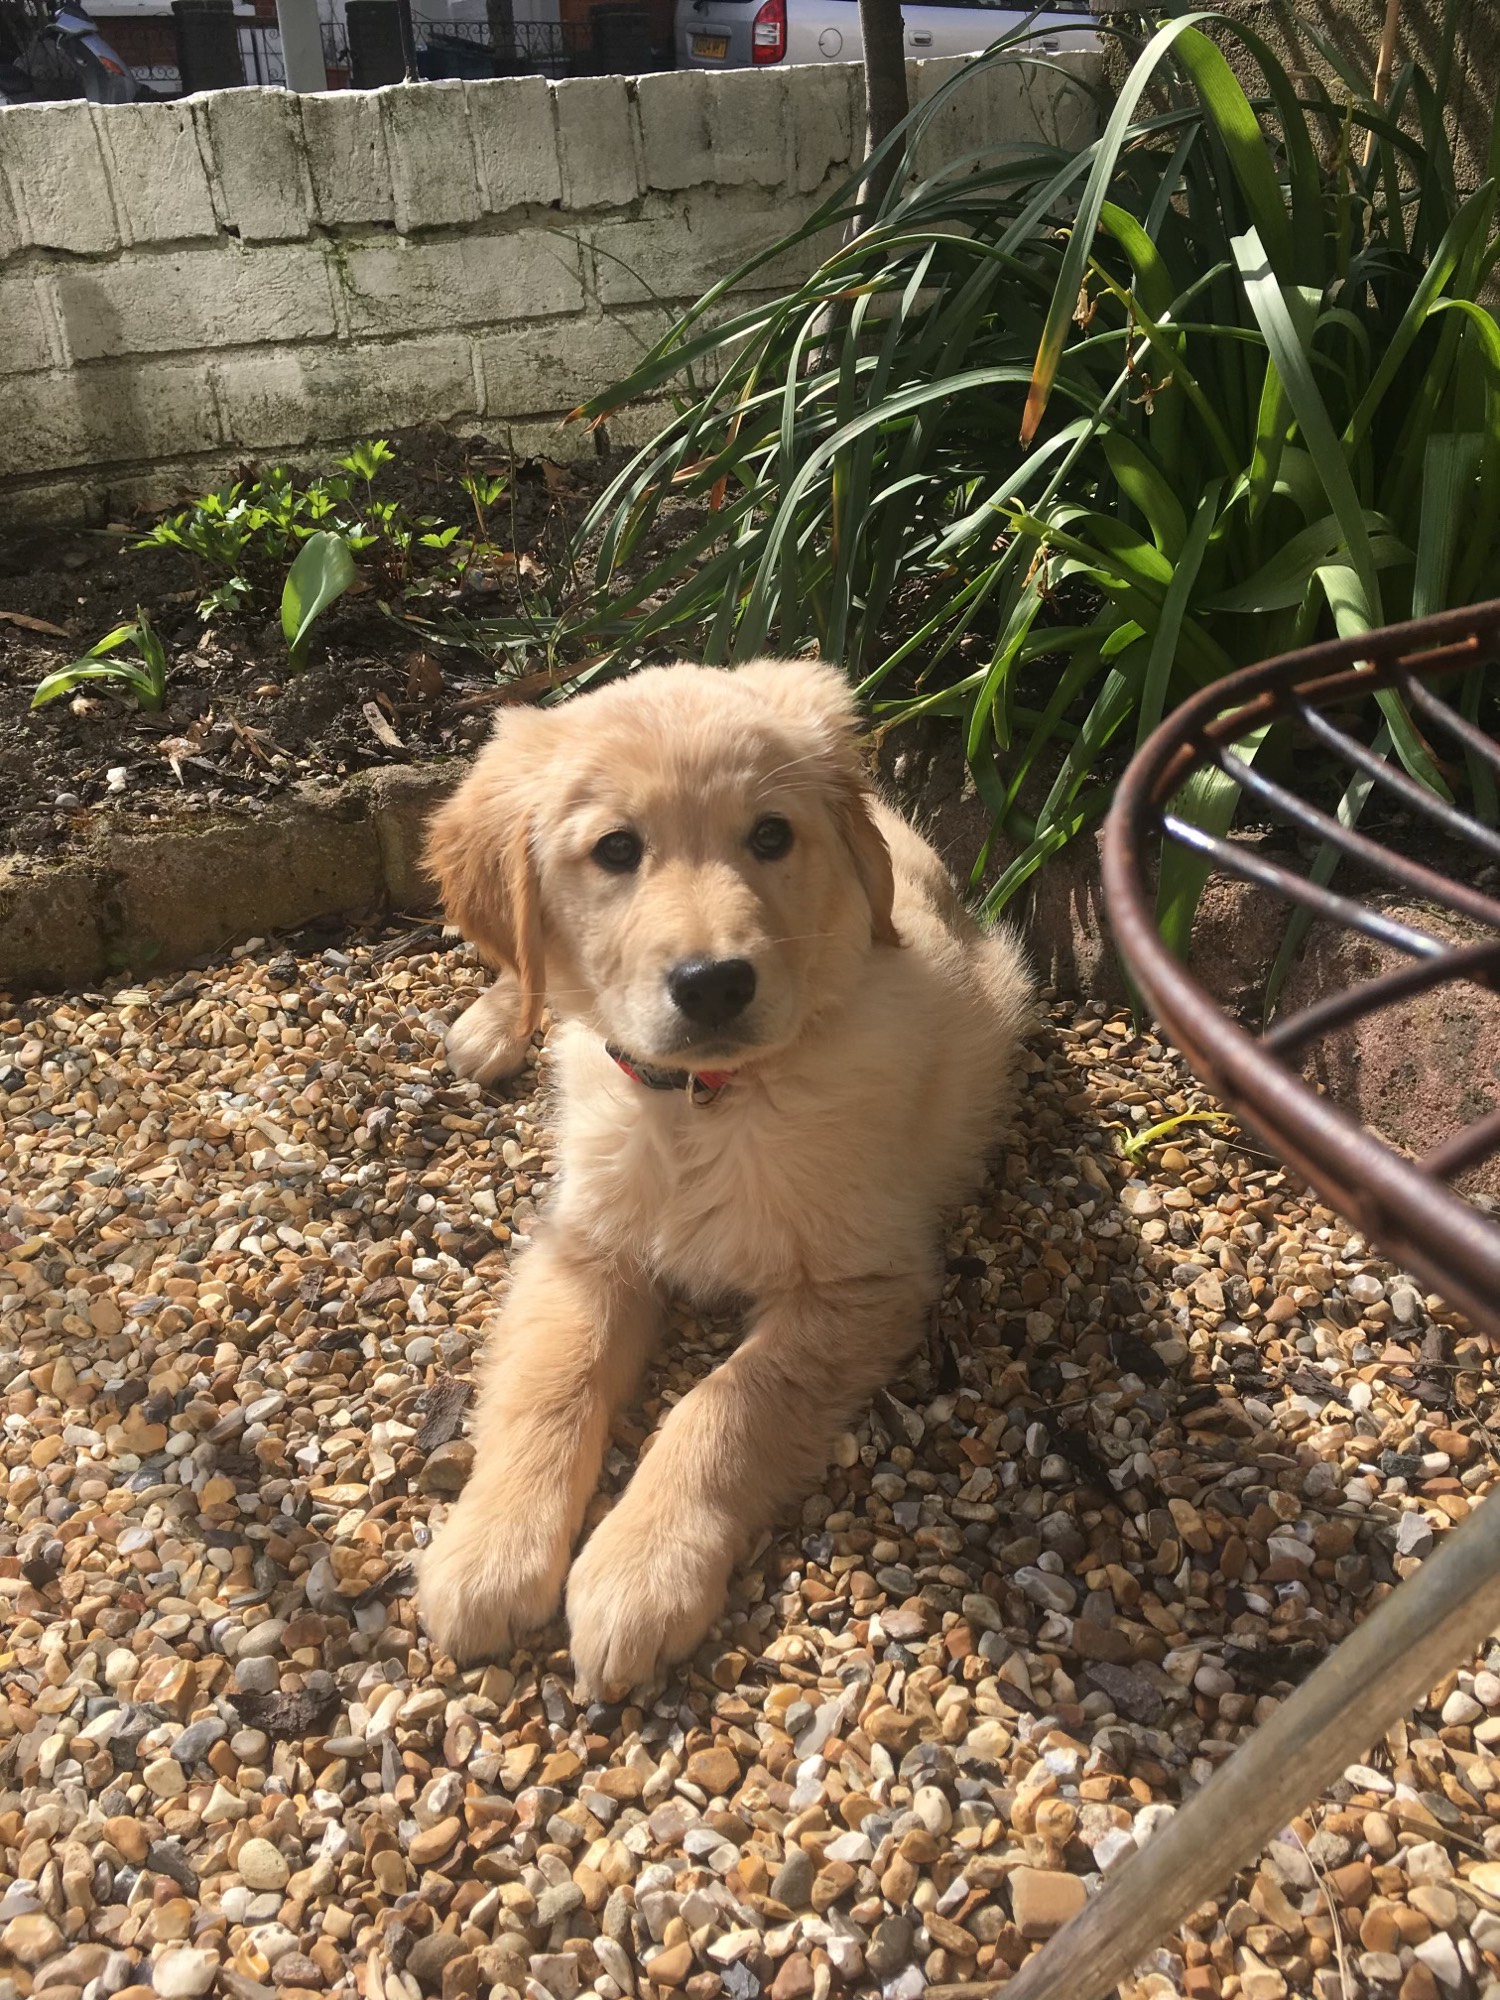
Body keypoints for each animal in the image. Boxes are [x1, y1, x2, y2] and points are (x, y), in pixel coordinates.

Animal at [416, 657, 1031, 1692]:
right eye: (617, 849)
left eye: (771, 835)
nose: (714, 985)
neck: (704, 1104)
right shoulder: (587, 1245)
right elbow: (550, 1380)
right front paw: (489, 1550)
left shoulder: (862, 1284)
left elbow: (726, 1408)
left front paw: (639, 1571)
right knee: (525, 965)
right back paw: (496, 1022)